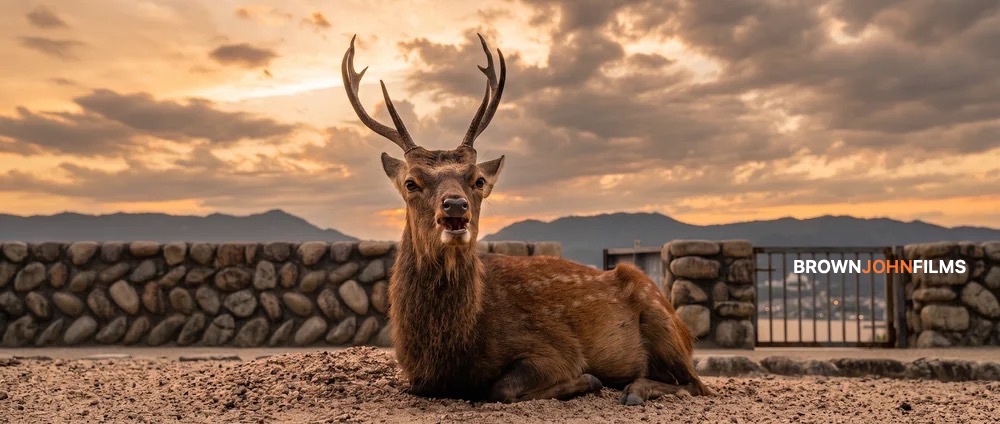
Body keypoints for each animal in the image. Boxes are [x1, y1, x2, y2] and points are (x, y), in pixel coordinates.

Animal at [341, 33, 710, 405]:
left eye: (478, 180)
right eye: (411, 182)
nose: (455, 206)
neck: (450, 352)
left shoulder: (555, 349)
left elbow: (502, 387)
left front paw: (588, 380)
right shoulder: (416, 376)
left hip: (659, 314)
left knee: (696, 384)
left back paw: (633, 389)